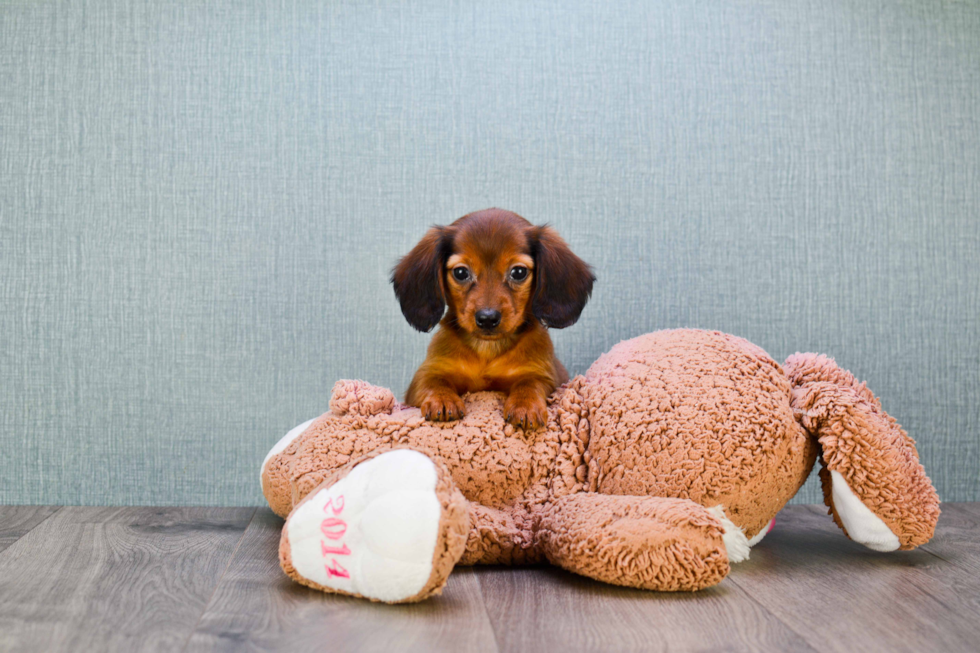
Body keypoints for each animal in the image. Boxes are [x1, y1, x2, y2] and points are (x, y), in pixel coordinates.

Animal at [392, 209, 596, 430]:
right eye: (461, 272)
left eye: (519, 272)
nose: (488, 318)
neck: (487, 349)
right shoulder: (426, 374)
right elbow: (434, 381)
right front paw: (442, 399)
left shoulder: (544, 375)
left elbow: (529, 383)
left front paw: (525, 406)